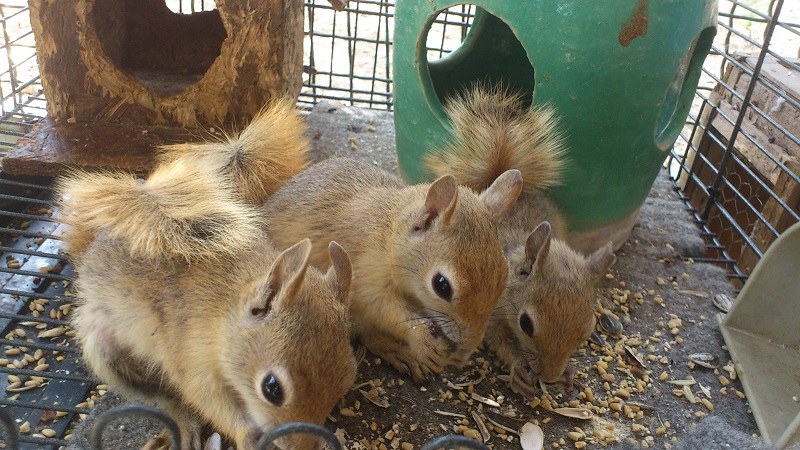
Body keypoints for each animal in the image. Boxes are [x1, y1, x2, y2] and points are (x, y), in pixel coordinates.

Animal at [54, 157, 354, 446]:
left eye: (346, 380)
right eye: (272, 389)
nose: (302, 447)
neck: (222, 307)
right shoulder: (190, 357)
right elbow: (207, 399)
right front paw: (246, 436)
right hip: (109, 353)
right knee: (164, 397)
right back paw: (184, 425)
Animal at [424, 86, 620, 400]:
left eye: (587, 330)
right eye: (526, 325)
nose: (549, 377)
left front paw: (568, 372)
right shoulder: (490, 311)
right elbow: (499, 340)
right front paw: (518, 370)